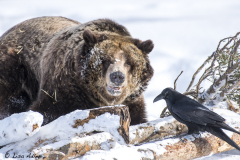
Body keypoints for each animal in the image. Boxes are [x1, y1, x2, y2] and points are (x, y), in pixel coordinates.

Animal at [0, 16, 154, 125]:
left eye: (129, 62)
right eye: (105, 60)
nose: (117, 76)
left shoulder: (132, 101)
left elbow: (138, 118)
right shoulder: (62, 89)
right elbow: (45, 111)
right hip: (15, 67)